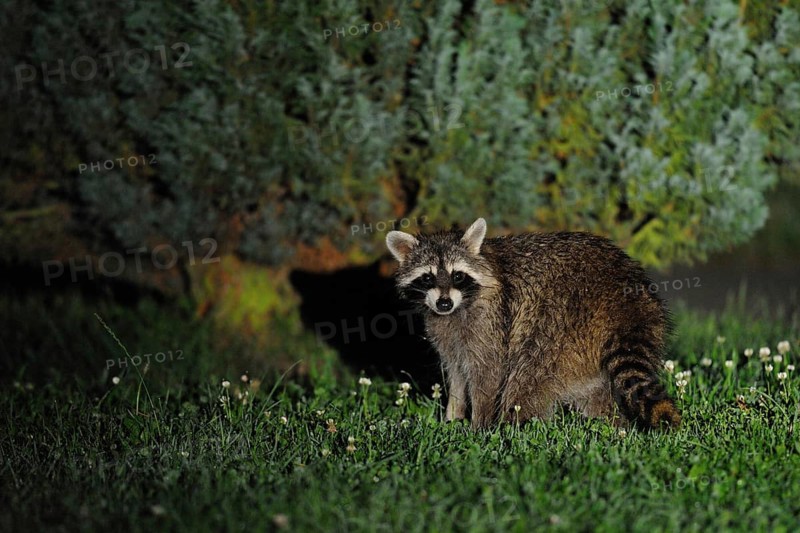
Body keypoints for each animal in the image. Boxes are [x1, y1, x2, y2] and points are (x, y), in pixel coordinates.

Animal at [385, 218, 680, 430]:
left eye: (458, 275)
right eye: (427, 278)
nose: (444, 303)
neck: (461, 306)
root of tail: (626, 301)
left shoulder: (491, 322)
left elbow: (487, 373)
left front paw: (479, 427)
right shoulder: (445, 331)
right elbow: (456, 373)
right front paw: (452, 416)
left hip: (562, 321)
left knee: (527, 377)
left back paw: (515, 428)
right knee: (594, 392)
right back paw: (614, 426)